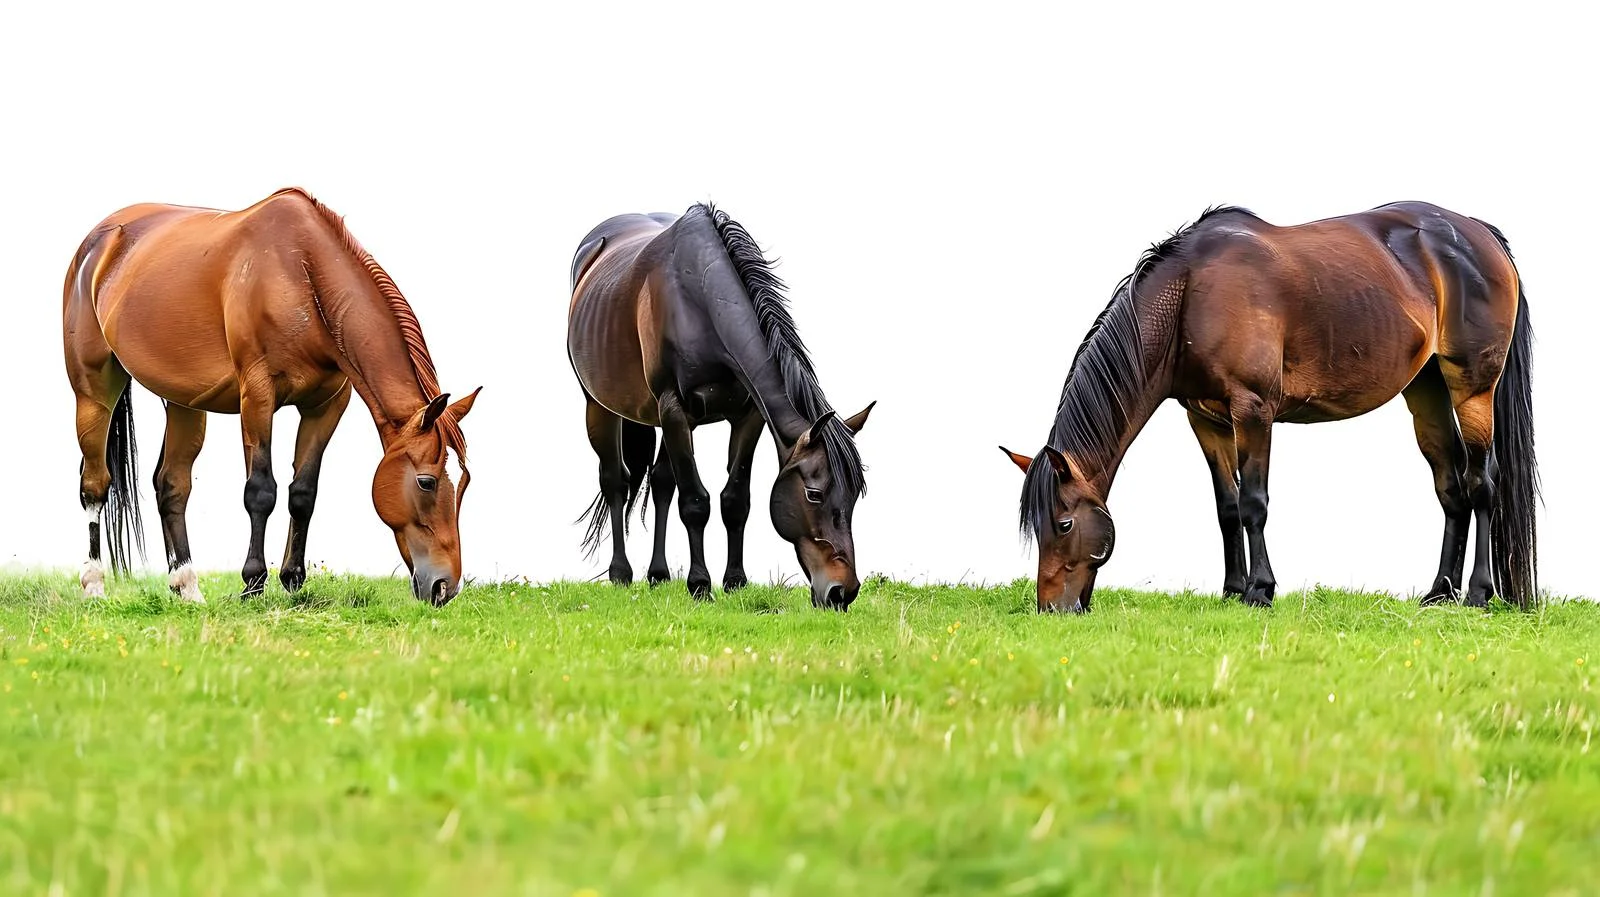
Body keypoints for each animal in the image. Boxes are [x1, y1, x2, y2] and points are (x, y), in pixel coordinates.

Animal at [63, 187, 481, 605]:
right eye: (426, 482)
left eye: (464, 484)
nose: (444, 586)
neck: (301, 274)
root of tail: (95, 245)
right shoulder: (258, 398)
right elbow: (261, 491)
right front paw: (253, 582)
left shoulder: (326, 406)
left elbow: (303, 492)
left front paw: (293, 578)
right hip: (93, 392)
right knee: (95, 484)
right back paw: (94, 583)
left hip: (185, 403)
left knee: (172, 486)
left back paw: (187, 587)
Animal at [566, 204, 874, 609]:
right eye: (814, 493)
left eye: (855, 496)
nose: (843, 591)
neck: (698, 299)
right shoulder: (674, 410)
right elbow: (695, 501)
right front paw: (700, 585)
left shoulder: (747, 417)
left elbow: (735, 501)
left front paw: (734, 581)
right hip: (600, 407)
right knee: (616, 480)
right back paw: (621, 573)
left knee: (661, 483)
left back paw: (659, 575)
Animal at [1000, 202, 1537, 614]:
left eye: (1064, 523)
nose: (1051, 608)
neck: (1190, 295)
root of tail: (1480, 234)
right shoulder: (1206, 420)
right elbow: (1227, 507)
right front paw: (1232, 589)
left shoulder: (1253, 410)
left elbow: (1254, 503)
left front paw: (1260, 590)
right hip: (1426, 393)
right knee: (1451, 489)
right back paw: (1439, 593)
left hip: (1473, 390)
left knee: (1481, 484)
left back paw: (1479, 594)